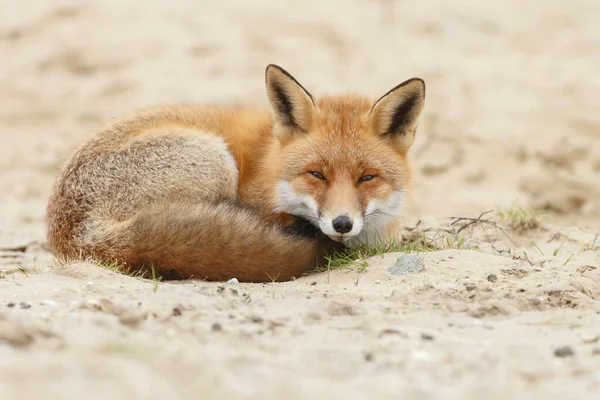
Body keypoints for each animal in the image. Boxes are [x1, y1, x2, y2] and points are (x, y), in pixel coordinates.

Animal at [44, 64, 424, 282]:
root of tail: (76, 237)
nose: (342, 224)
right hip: (216, 159)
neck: (271, 169)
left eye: (367, 177)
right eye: (317, 175)